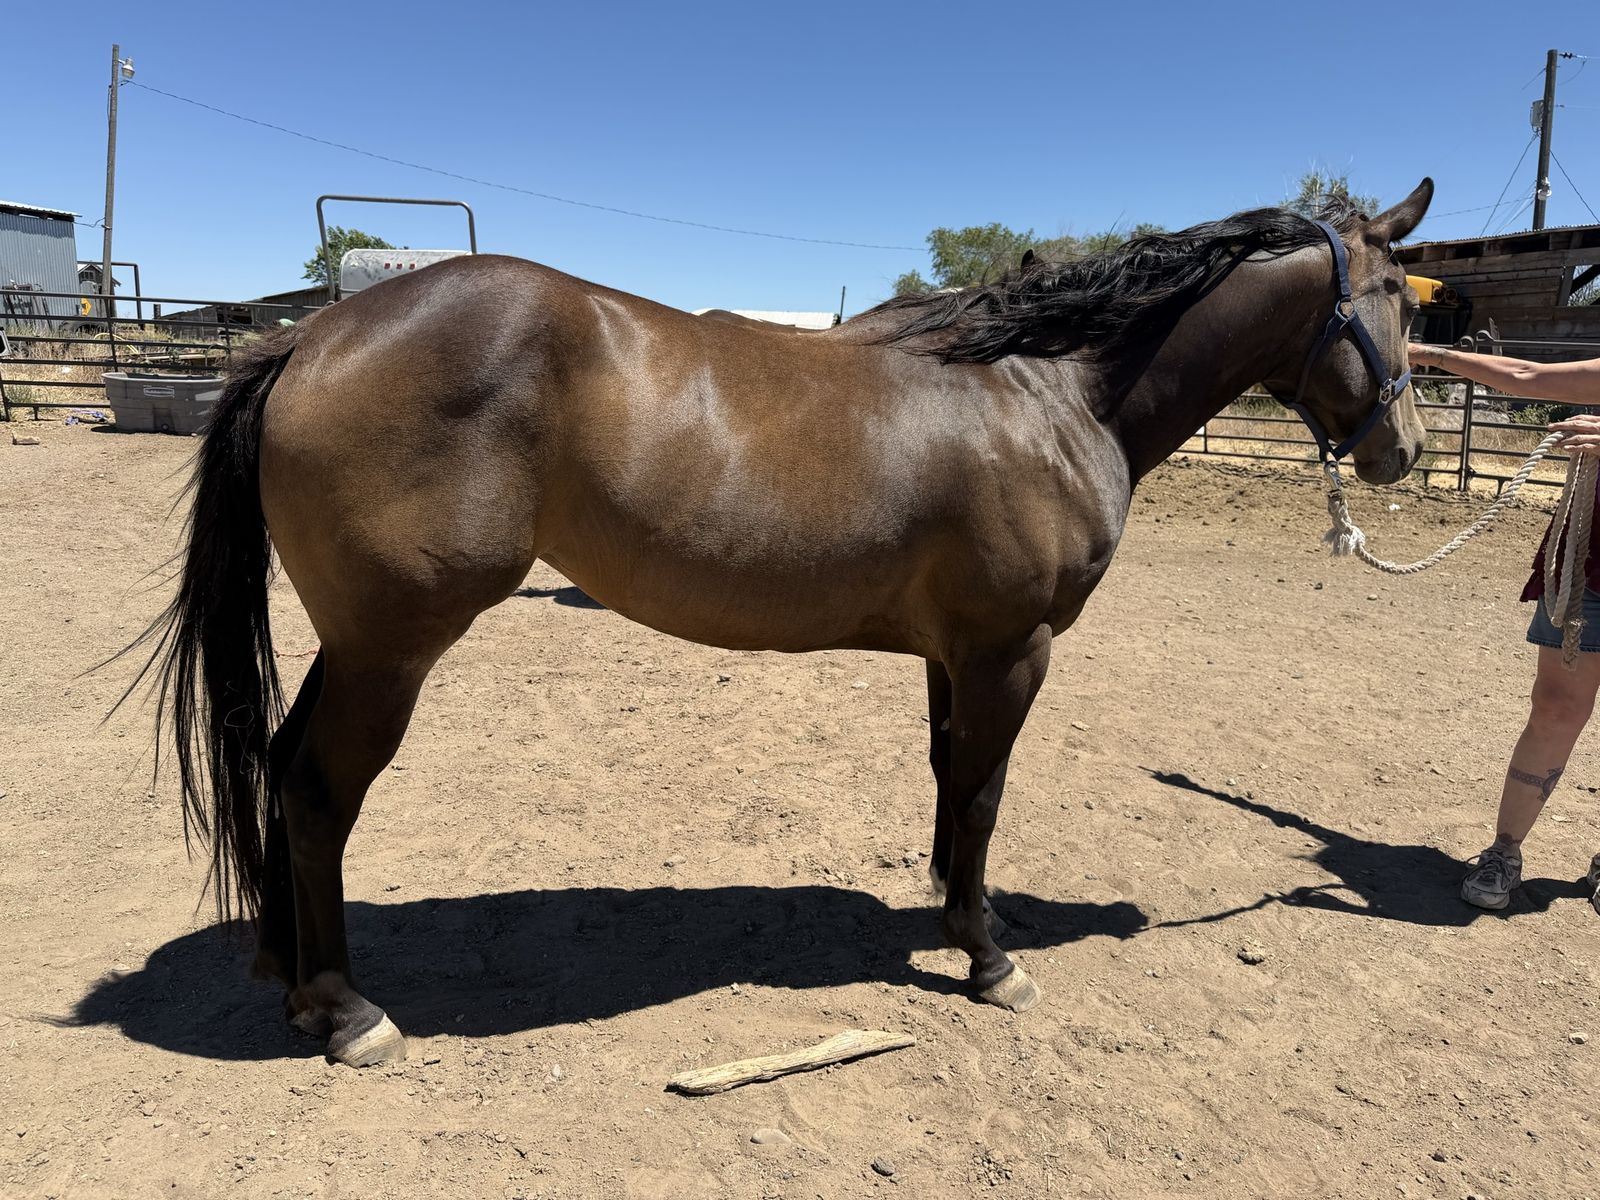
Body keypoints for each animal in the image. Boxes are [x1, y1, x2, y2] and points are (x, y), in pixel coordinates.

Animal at [131, 179, 1432, 1066]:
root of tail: (312, 334)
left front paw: (952, 910)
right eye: (1381, 301)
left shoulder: (953, 656)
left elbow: (948, 783)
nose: (1404, 453)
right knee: (317, 791)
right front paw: (988, 956)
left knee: (281, 769)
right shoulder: (1010, 651)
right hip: (390, 648)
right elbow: (984, 795)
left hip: (358, 646)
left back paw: (296, 981)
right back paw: (348, 1012)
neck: (1047, 390)